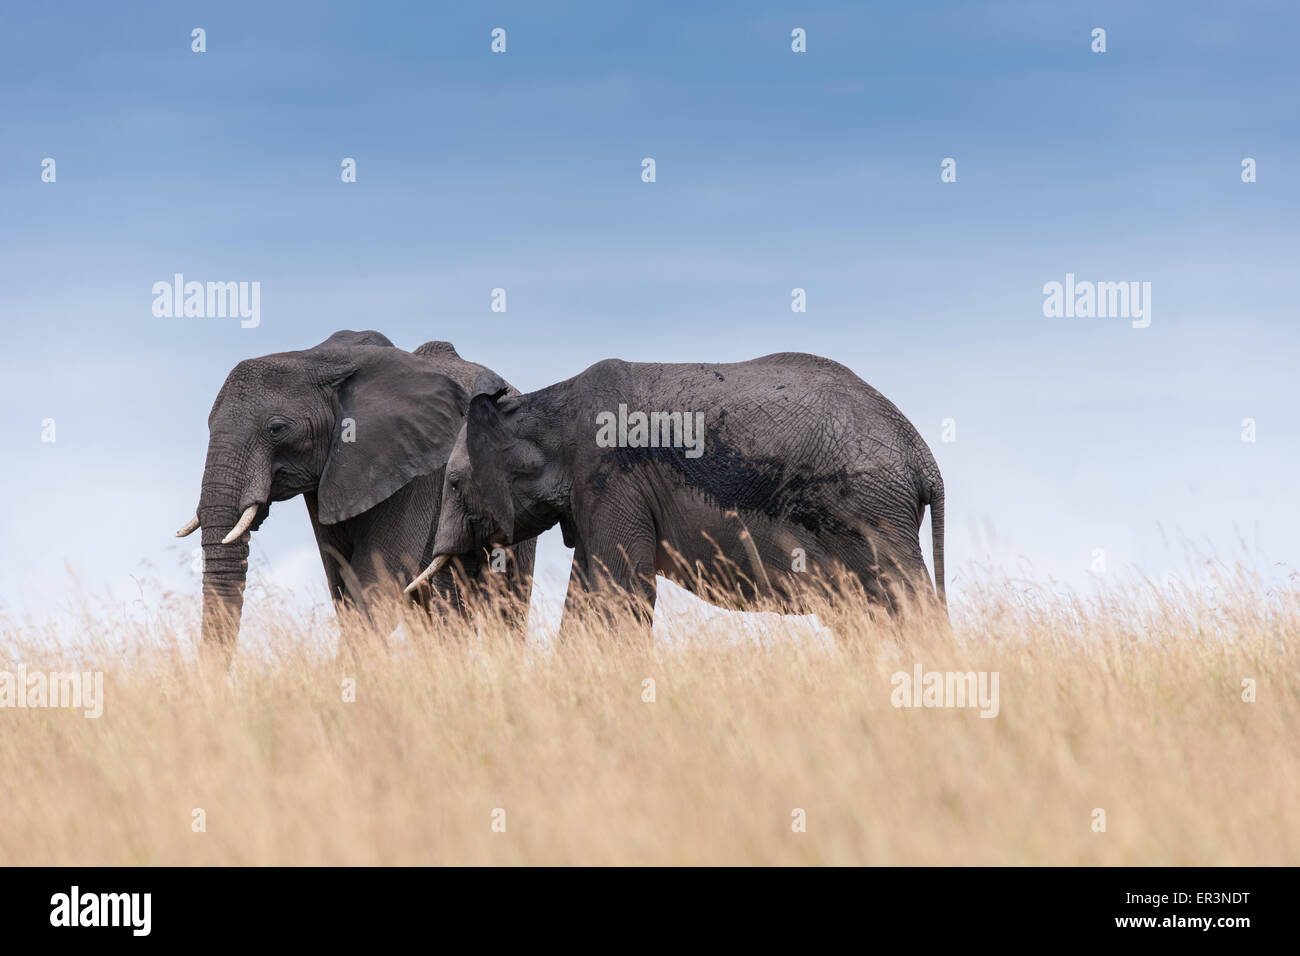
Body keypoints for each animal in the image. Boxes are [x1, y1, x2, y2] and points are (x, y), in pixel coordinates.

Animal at [410, 353, 951, 634]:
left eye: (453, 483)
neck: (544, 407)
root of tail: (924, 459)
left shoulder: (609, 477)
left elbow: (617, 590)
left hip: (871, 510)